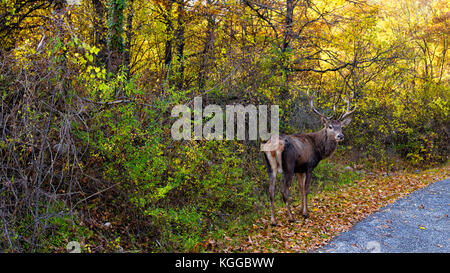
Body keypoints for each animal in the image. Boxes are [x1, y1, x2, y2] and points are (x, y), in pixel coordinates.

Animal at [264, 89, 356, 225]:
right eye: (330, 126)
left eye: (341, 126)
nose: (340, 136)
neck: (318, 149)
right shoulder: (309, 166)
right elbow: (306, 189)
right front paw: (305, 213)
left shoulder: (299, 169)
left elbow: (301, 188)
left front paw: (301, 209)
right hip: (288, 166)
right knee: (284, 191)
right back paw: (291, 217)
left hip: (270, 167)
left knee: (271, 192)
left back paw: (273, 220)